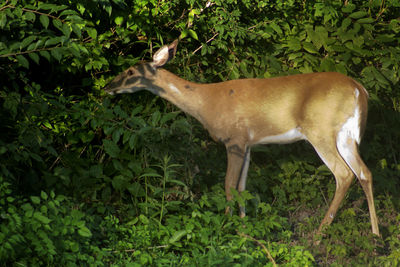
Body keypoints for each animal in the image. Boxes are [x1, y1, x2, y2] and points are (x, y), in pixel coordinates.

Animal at [103, 40, 378, 239]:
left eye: (130, 71)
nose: (107, 86)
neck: (206, 103)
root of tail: (359, 90)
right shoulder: (248, 143)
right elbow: (242, 187)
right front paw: (244, 233)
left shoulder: (234, 139)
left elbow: (228, 185)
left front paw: (226, 228)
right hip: (346, 136)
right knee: (364, 172)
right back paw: (376, 235)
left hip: (320, 131)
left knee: (344, 174)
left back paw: (319, 234)